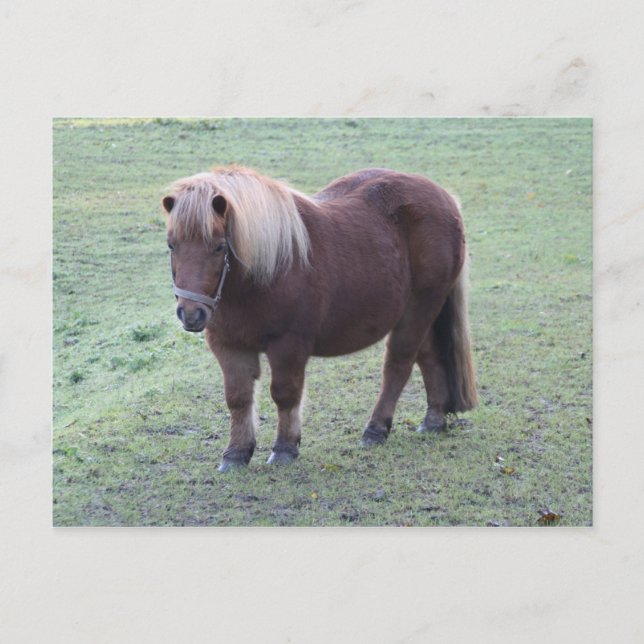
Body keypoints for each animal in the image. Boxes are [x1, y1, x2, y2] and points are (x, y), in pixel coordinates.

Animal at [162, 165, 477, 472]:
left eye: (218, 247)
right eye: (171, 245)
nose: (191, 313)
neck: (262, 274)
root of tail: (445, 198)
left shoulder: (288, 345)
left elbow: (285, 393)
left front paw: (285, 448)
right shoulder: (229, 346)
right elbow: (238, 398)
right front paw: (236, 454)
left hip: (419, 309)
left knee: (398, 367)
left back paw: (376, 429)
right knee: (429, 358)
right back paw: (434, 420)